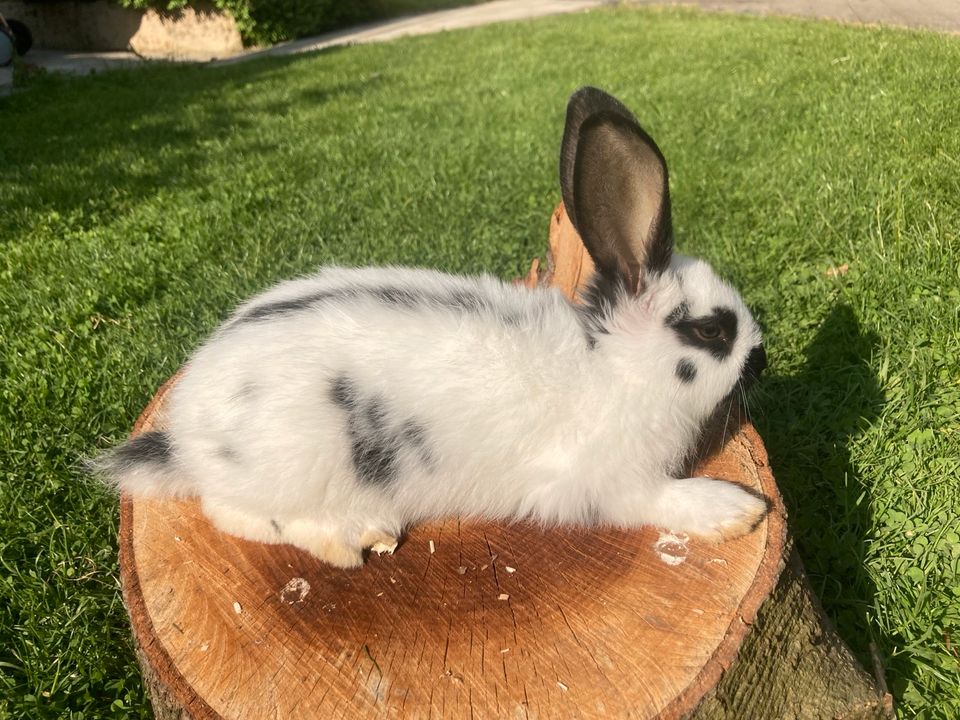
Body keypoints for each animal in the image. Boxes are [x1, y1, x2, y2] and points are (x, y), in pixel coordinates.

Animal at [94, 86, 768, 568]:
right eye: (712, 332)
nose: (762, 359)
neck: (616, 368)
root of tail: (184, 431)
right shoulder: (609, 482)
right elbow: (661, 500)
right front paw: (738, 510)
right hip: (285, 471)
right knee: (233, 512)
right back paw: (353, 537)